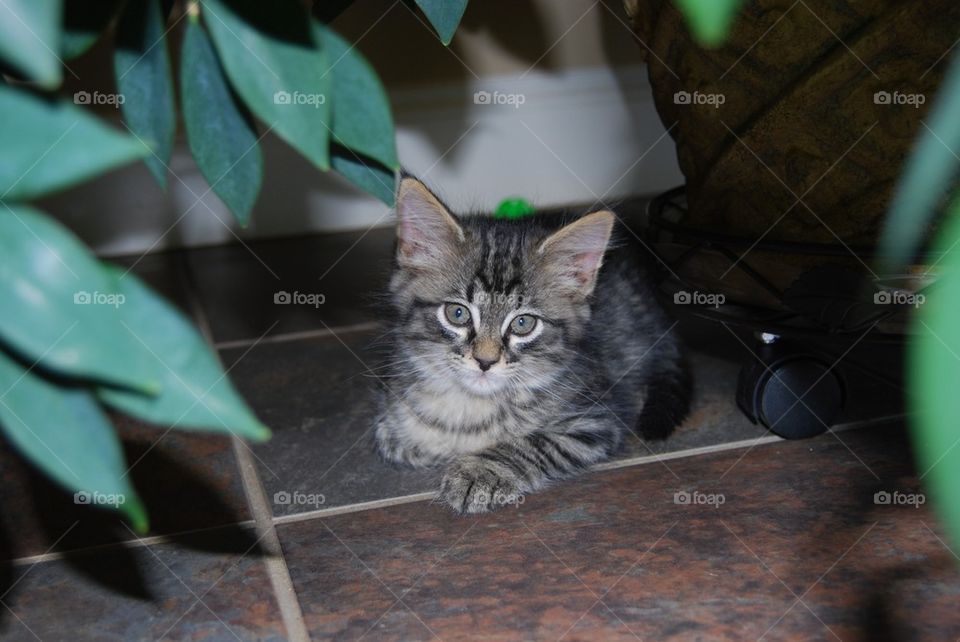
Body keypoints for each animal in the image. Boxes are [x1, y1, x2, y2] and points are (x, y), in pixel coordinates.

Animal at [376, 178, 688, 512]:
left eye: (523, 324)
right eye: (457, 314)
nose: (485, 361)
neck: (472, 404)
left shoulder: (596, 420)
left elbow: (533, 442)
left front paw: (481, 471)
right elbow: (393, 438)